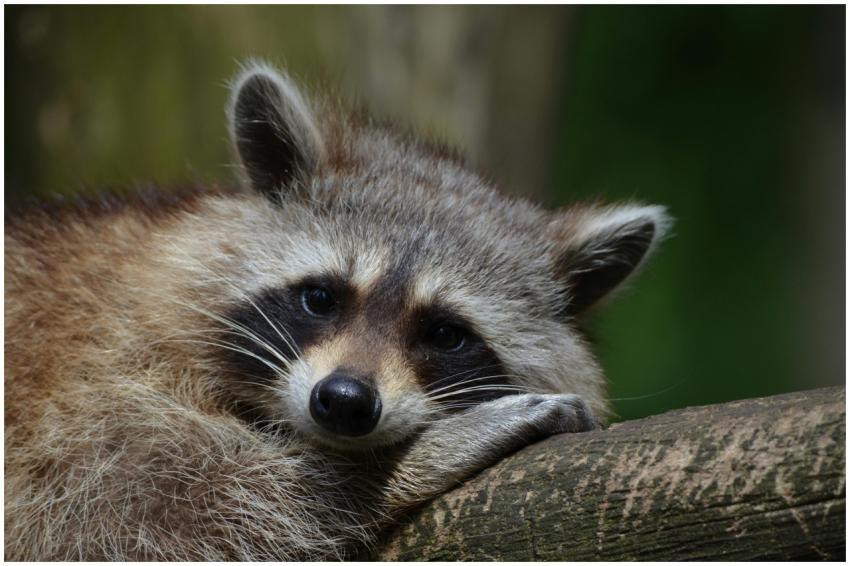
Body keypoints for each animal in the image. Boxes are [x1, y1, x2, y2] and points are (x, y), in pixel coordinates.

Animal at [4, 62, 670, 560]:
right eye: (321, 297)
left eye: (446, 334)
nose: (345, 401)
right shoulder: (87, 389)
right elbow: (154, 512)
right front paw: (406, 464)